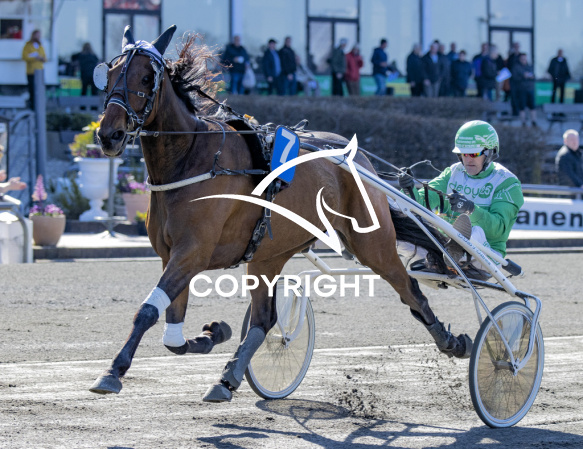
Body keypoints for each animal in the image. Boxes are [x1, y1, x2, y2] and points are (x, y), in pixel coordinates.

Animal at [90, 25, 472, 401]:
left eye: (145, 77)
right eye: (107, 74)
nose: (109, 134)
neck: (191, 159)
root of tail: (357, 157)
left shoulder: (192, 253)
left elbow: (147, 310)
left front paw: (113, 371)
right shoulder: (172, 254)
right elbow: (172, 331)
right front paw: (213, 333)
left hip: (372, 244)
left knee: (410, 288)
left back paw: (452, 342)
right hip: (267, 256)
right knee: (264, 319)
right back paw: (227, 377)